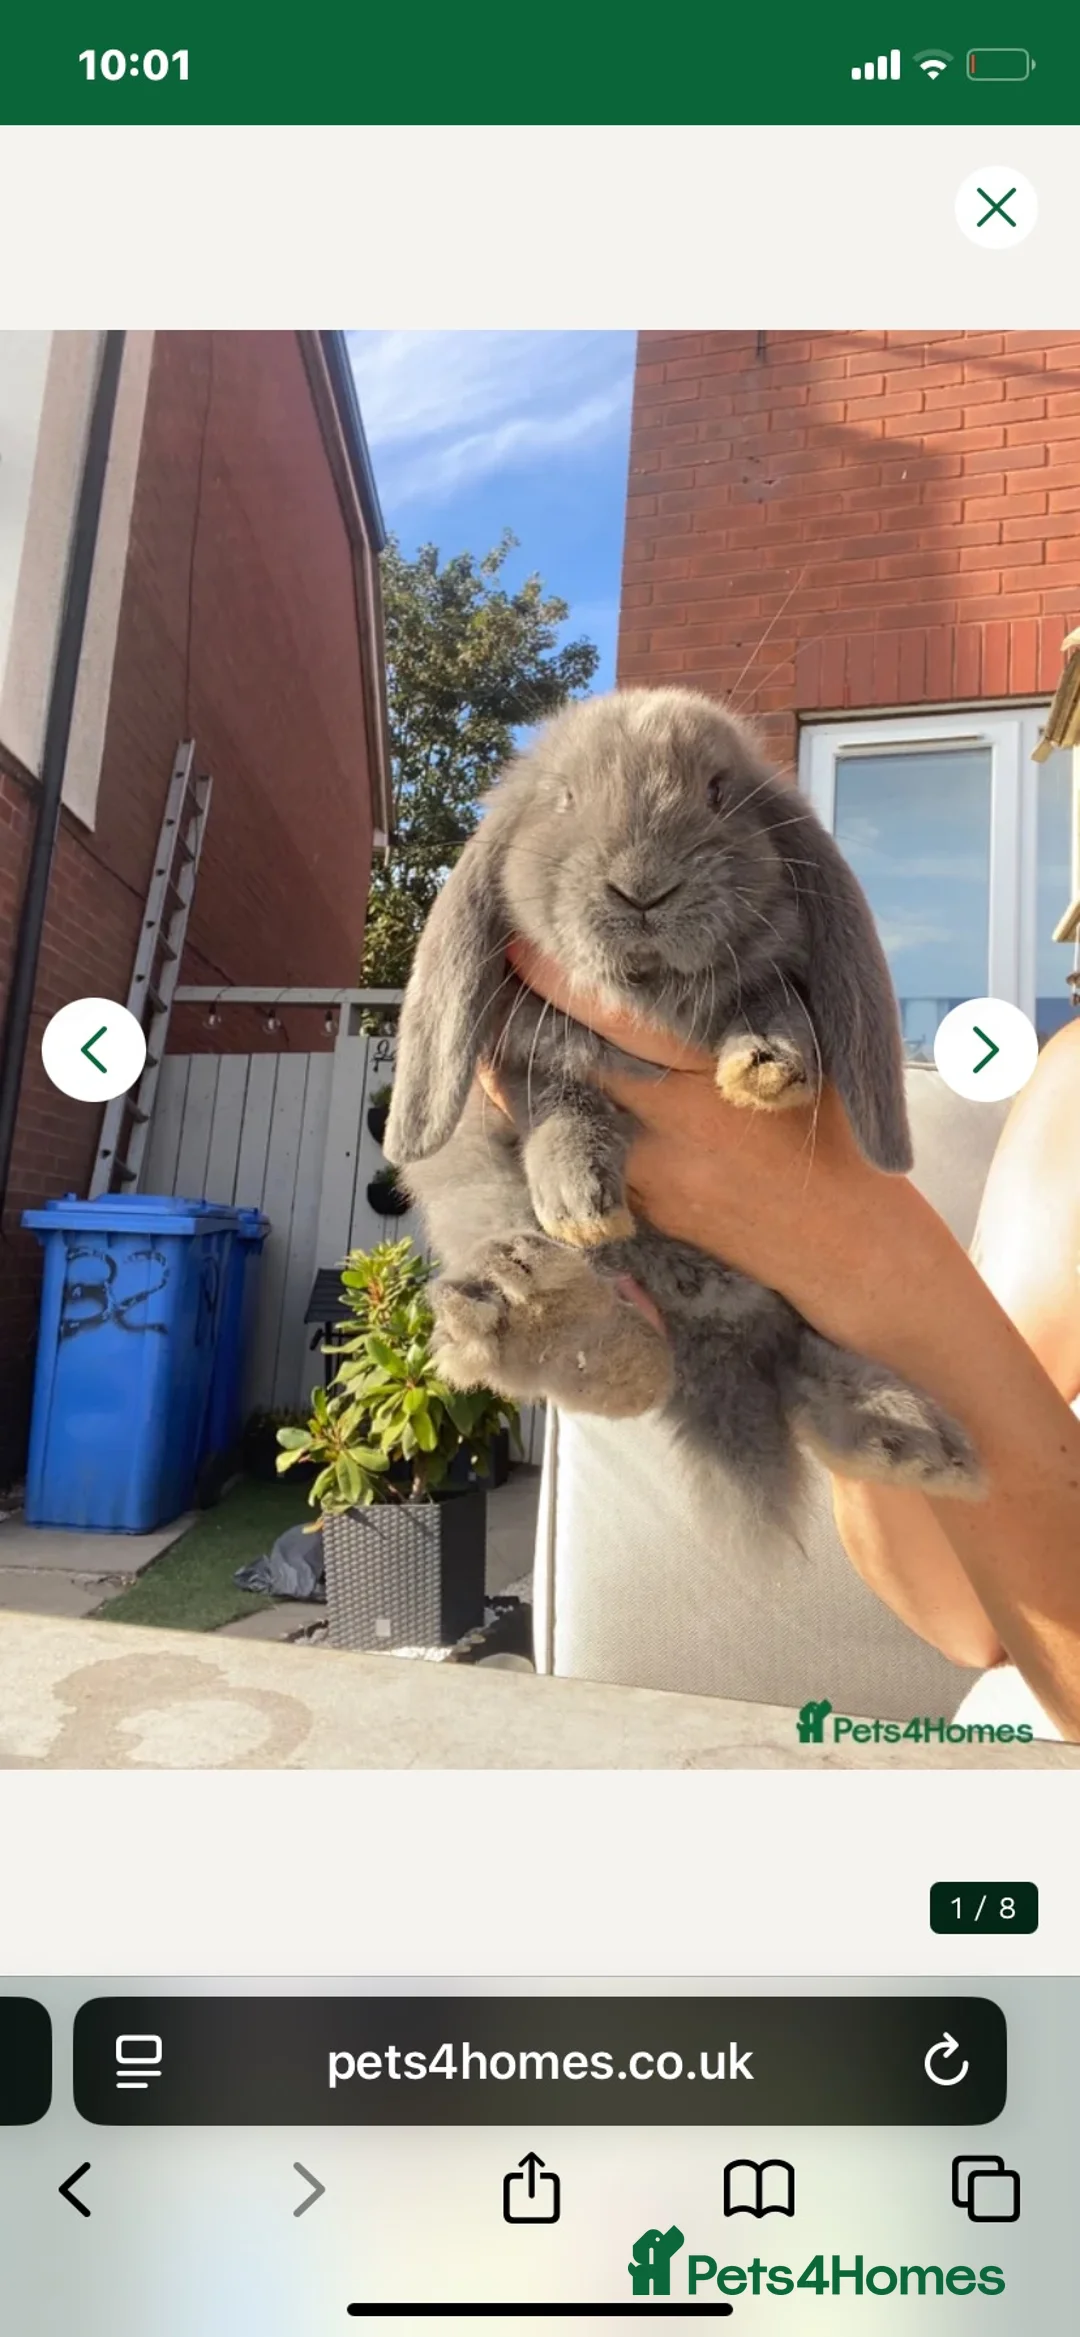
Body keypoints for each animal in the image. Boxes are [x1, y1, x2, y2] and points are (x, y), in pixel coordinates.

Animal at [384, 687, 982, 1519]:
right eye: (565, 799)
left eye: (718, 793)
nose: (642, 888)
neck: (653, 995)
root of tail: (717, 1330)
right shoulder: (528, 1052)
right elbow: (563, 1106)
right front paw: (579, 1198)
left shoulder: (778, 975)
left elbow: (775, 1005)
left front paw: (766, 1067)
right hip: (482, 1197)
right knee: (638, 1363)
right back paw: (535, 1302)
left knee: (788, 1358)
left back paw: (910, 1439)